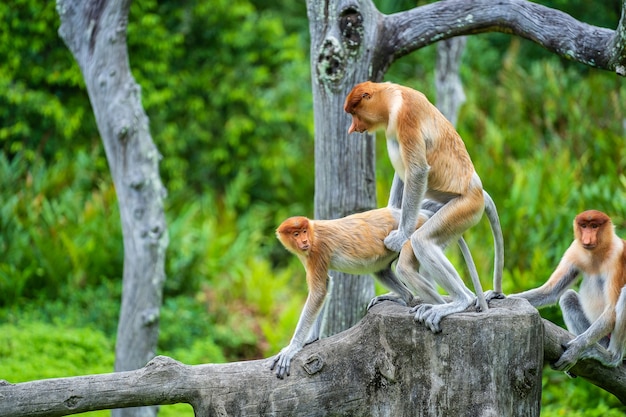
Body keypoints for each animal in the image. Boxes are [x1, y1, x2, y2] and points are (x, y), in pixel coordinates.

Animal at [266, 203, 478, 378]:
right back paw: (403, 297)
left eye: (303, 231)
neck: (313, 232)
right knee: (381, 270)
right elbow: (325, 285)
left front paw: (291, 348)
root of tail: (422, 215)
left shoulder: (317, 250)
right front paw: (311, 339)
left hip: (415, 233)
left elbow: (318, 292)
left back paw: (447, 306)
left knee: (405, 268)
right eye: (295, 234)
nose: (304, 242)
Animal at [344, 79, 504, 330]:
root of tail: (477, 189)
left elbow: (417, 170)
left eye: (353, 113)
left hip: (464, 208)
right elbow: (405, 171)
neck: (393, 96)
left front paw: (399, 236)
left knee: (423, 241)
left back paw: (459, 302)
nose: (352, 128)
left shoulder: (405, 117)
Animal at [510, 211, 620, 370]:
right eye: (584, 226)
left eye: (594, 226)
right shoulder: (575, 251)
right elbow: (551, 292)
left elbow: (612, 309)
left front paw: (575, 349)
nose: (587, 238)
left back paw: (612, 358)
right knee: (567, 297)